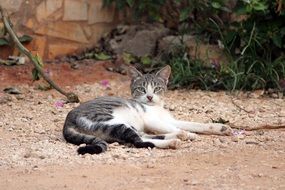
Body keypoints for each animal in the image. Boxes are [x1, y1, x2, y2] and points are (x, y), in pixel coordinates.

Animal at [62, 65, 231, 154]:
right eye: (142, 89)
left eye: (156, 89)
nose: (149, 96)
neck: (156, 107)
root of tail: (68, 121)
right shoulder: (152, 120)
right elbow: (175, 127)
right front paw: (188, 133)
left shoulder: (168, 119)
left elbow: (194, 124)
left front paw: (220, 128)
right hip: (112, 121)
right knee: (139, 141)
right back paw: (174, 141)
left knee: (143, 136)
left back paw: (175, 138)